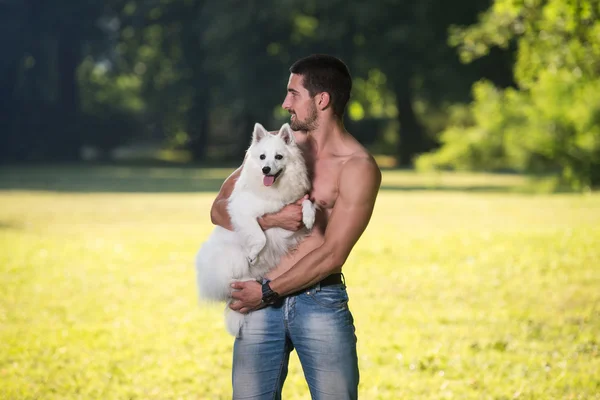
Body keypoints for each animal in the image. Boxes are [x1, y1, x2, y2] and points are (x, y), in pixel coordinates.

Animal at [196, 122, 318, 338]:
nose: (265, 169)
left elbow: (307, 203)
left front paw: (310, 217)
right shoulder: (243, 212)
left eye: (278, 156)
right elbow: (260, 236)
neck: (274, 190)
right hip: (232, 257)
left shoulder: (292, 219)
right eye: (262, 157)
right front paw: (253, 253)